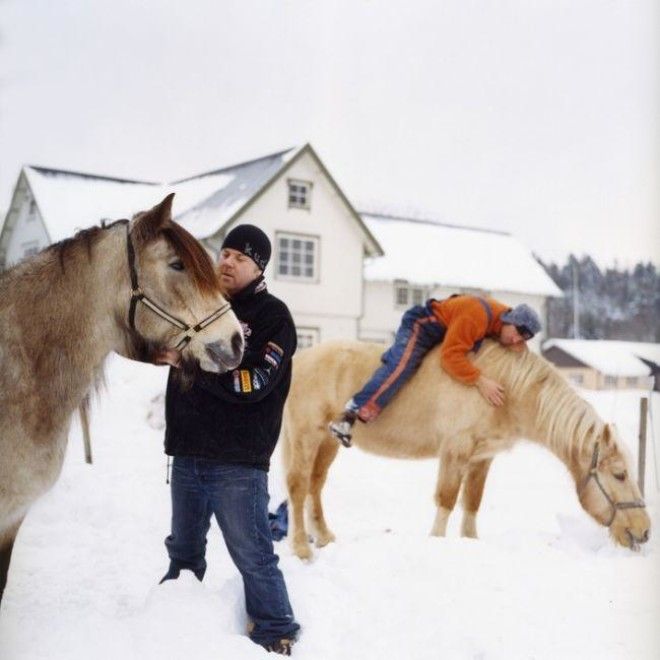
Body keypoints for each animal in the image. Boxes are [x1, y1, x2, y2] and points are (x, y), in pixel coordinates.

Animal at [284, 338, 648, 560]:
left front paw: (470, 542)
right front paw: (436, 542)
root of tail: (299, 359)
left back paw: (324, 536)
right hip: (306, 435)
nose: (644, 531)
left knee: (315, 486)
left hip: (328, 441)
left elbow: (471, 503)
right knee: (299, 486)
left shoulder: (482, 458)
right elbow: (446, 500)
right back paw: (302, 548)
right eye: (620, 474)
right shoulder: (455, 452)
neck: (507, 389)